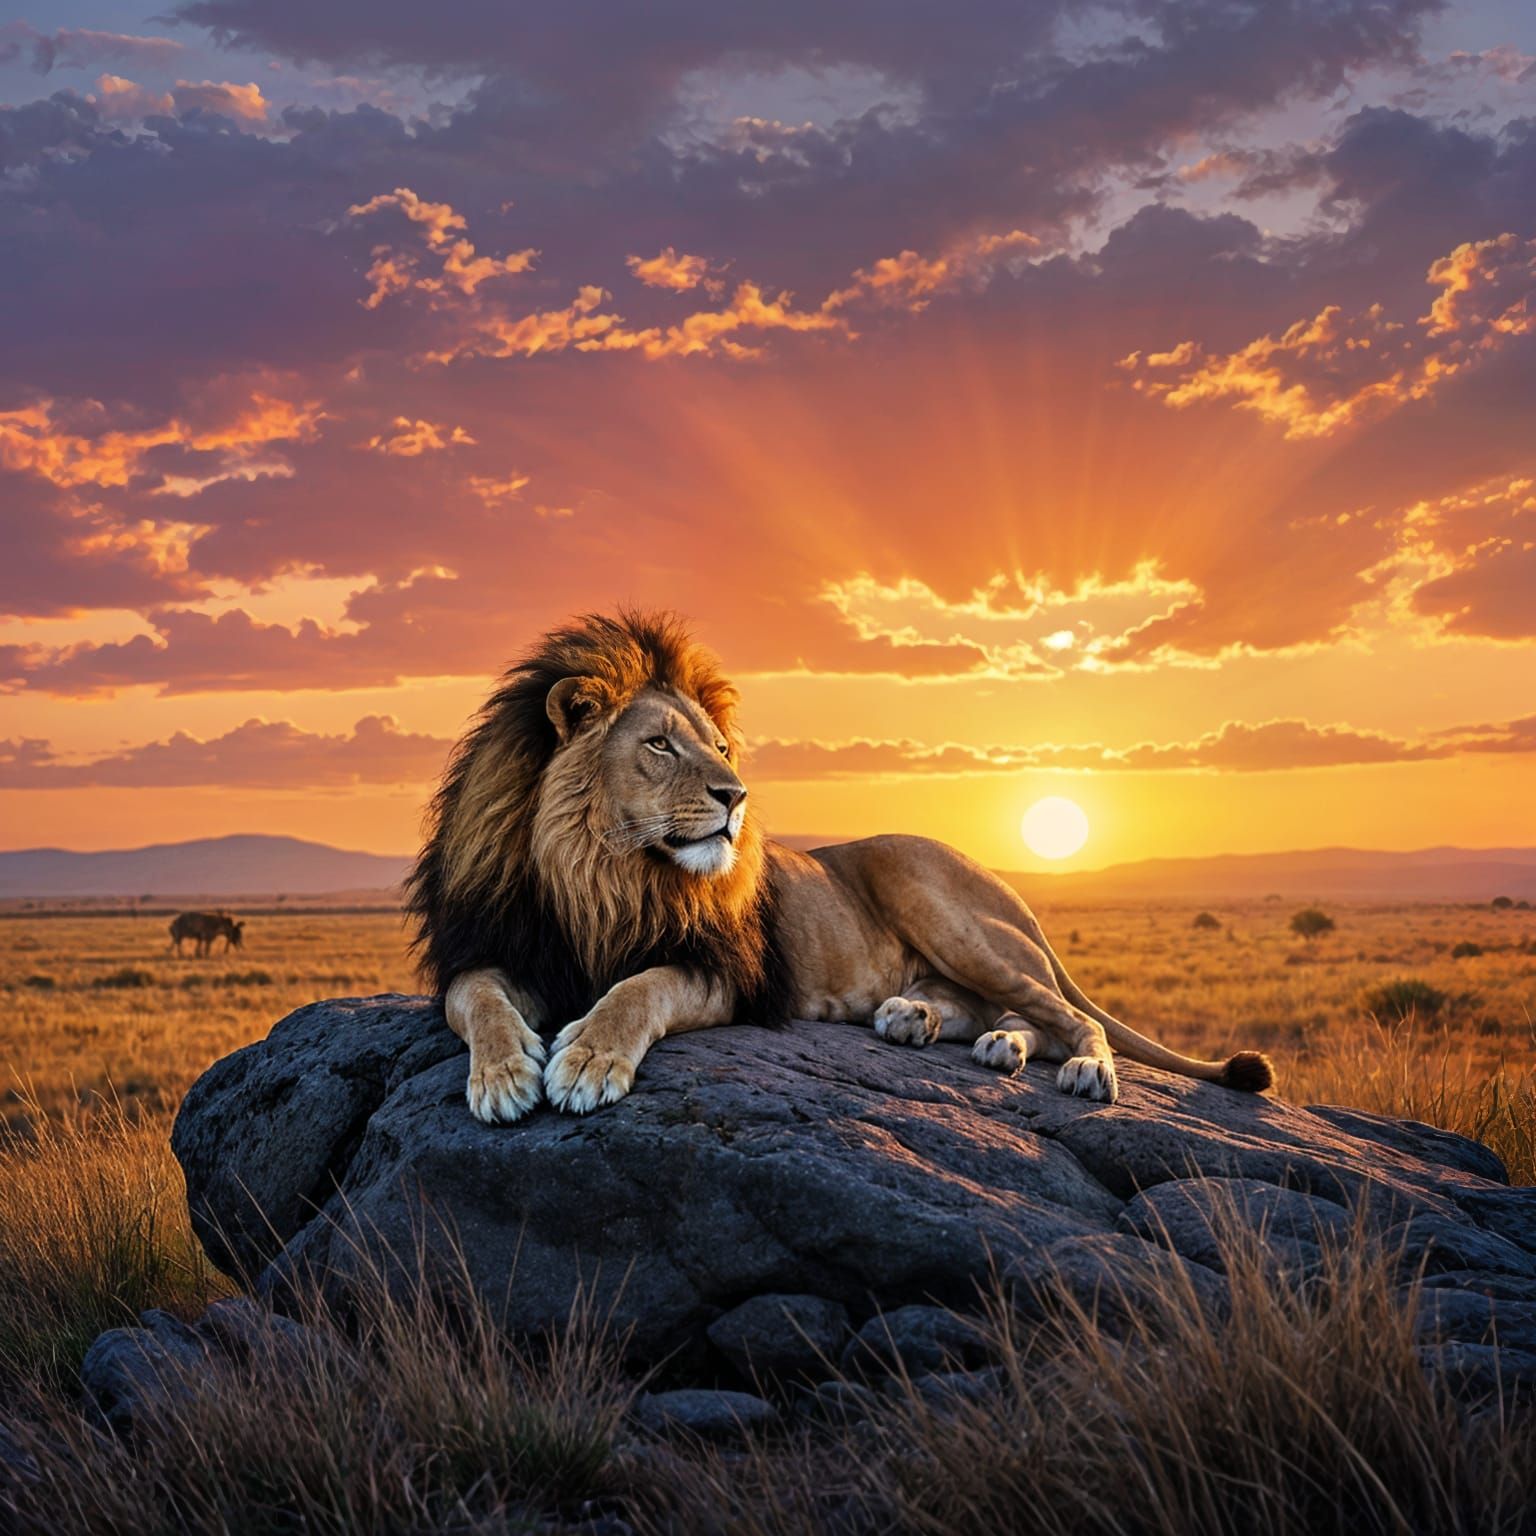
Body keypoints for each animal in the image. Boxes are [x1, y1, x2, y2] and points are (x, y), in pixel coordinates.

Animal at [407, 611, 1274, 1123]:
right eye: (659, 745)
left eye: (717, 748)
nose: (736, 795)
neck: (599, 872)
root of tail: (1010, 886)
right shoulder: (502, 945)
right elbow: (476, 1000)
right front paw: (502, 1076)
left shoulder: (726, 972)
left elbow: (635, 991)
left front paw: (586, 1061)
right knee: (1000, 1008)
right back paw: (939, 1027)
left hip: (941, 904)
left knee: (1066, 1013)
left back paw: (1081, 1066)